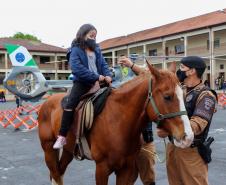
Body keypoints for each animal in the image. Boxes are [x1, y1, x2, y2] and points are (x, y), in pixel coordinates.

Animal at [38, 62, 193, 184]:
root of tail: (47, 102)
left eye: (184, 94)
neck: (118, 122)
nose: (188, 136)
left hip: (68, 150)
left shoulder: (126, 169)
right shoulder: (101, 168)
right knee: (56, 175)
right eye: (167, 96)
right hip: (48, 150)